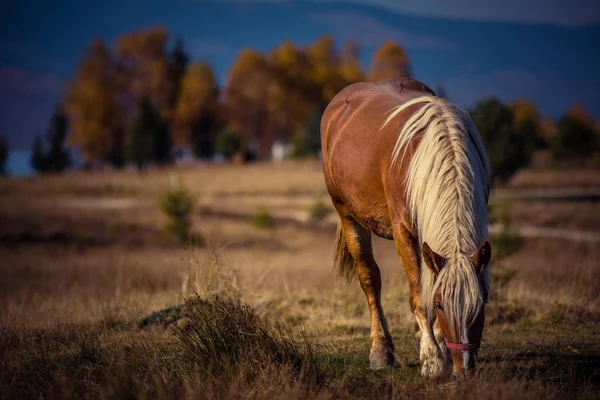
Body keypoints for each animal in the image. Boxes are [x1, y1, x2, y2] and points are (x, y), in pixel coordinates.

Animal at [324, 76, 492, 378]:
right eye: (440, 305)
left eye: (480, 305)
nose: (464, 370)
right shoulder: (404, 233)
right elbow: (418, 296)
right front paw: (432, 360)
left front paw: (436, 347)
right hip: (346, 213)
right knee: (369, 279)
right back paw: (380, 352)